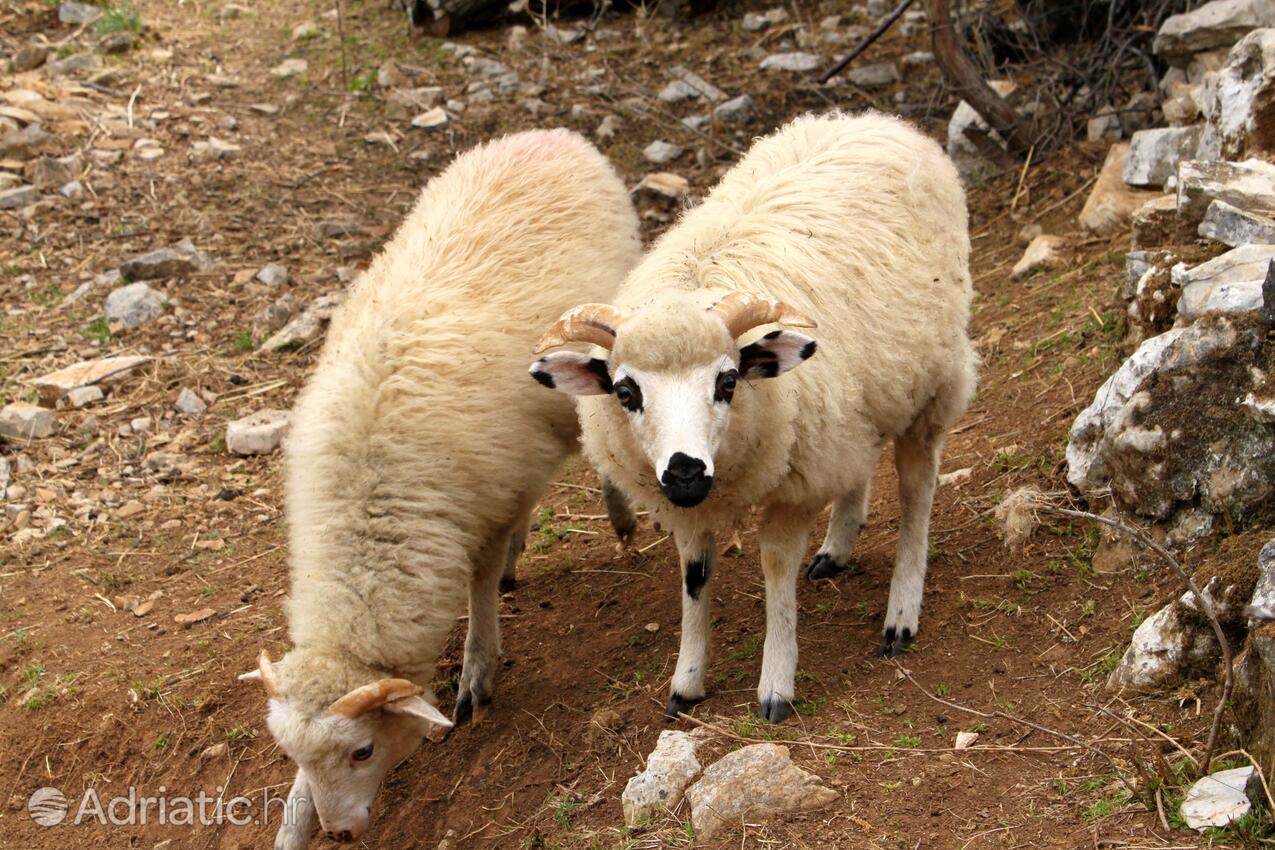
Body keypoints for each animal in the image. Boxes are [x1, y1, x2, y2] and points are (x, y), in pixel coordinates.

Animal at [239, 129, 637, 846]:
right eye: (291, 754)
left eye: (363, 751)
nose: (340, 832)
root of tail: (549, 136)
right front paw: (294, 820)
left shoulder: (480, 505)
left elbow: (477, 588)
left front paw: (479, 669)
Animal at [527, 109, 974, 723]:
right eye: (624, 391)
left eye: (728, 381)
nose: (686, 469)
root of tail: (875, 120)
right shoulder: (690, 506)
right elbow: (694, 578)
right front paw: (687, 681)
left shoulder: (795, 482)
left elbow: (776, 570)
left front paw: (776, 683)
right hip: (854, 410)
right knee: (859, 464)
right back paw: (838, 545)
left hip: (931, 386)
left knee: (917, 493)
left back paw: (901, 613)